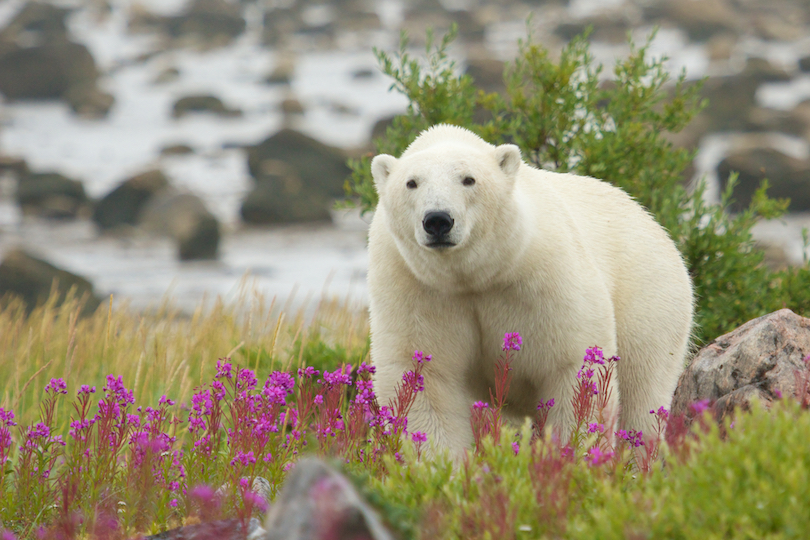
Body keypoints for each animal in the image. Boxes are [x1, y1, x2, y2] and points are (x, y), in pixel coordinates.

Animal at [366, 123, 688, 456]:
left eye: (469, 179)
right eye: (411, 183)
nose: (438, 220)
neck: (474, 276)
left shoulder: (543, 275)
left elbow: (570, 364)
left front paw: (576, 453)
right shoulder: (416, 288)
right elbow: (427, 377)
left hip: (648, 294)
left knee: (643, 388)